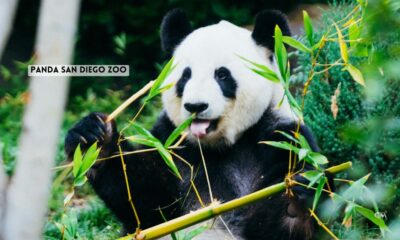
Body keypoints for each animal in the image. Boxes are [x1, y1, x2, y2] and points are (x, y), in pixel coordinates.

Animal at [65, 8, 322, 240]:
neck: (219, 146)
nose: (195, 106)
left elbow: (271, 224)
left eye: (222, 75)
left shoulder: (281, 137)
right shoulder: (170, 142)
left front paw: (295, 206)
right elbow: (148, 203)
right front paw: (96, 141)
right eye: (185, 75)